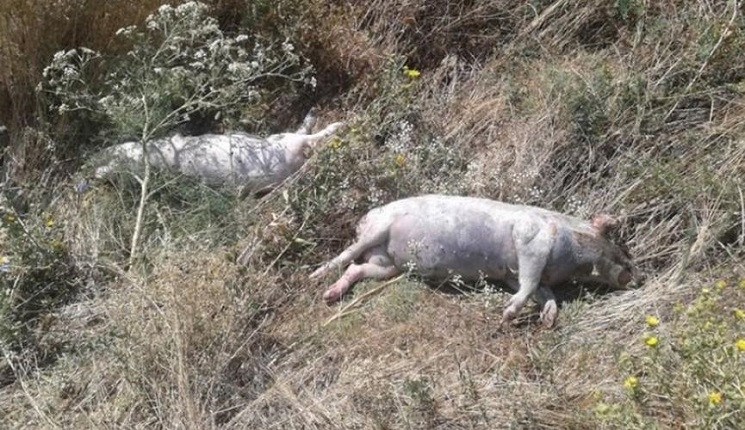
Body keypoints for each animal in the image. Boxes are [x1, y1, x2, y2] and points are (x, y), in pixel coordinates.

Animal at [310, 193, 636, 328]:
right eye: (623, 254)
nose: (638, 277)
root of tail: (367, 217)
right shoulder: (531, 243)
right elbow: (530, 284)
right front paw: (506, 316)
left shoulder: (512, 274)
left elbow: (544, 293)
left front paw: (546, 320)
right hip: (379, 229)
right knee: (346, 256)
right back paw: (315, 277)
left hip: (387, 265)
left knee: (358, 268)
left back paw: (329, 296)